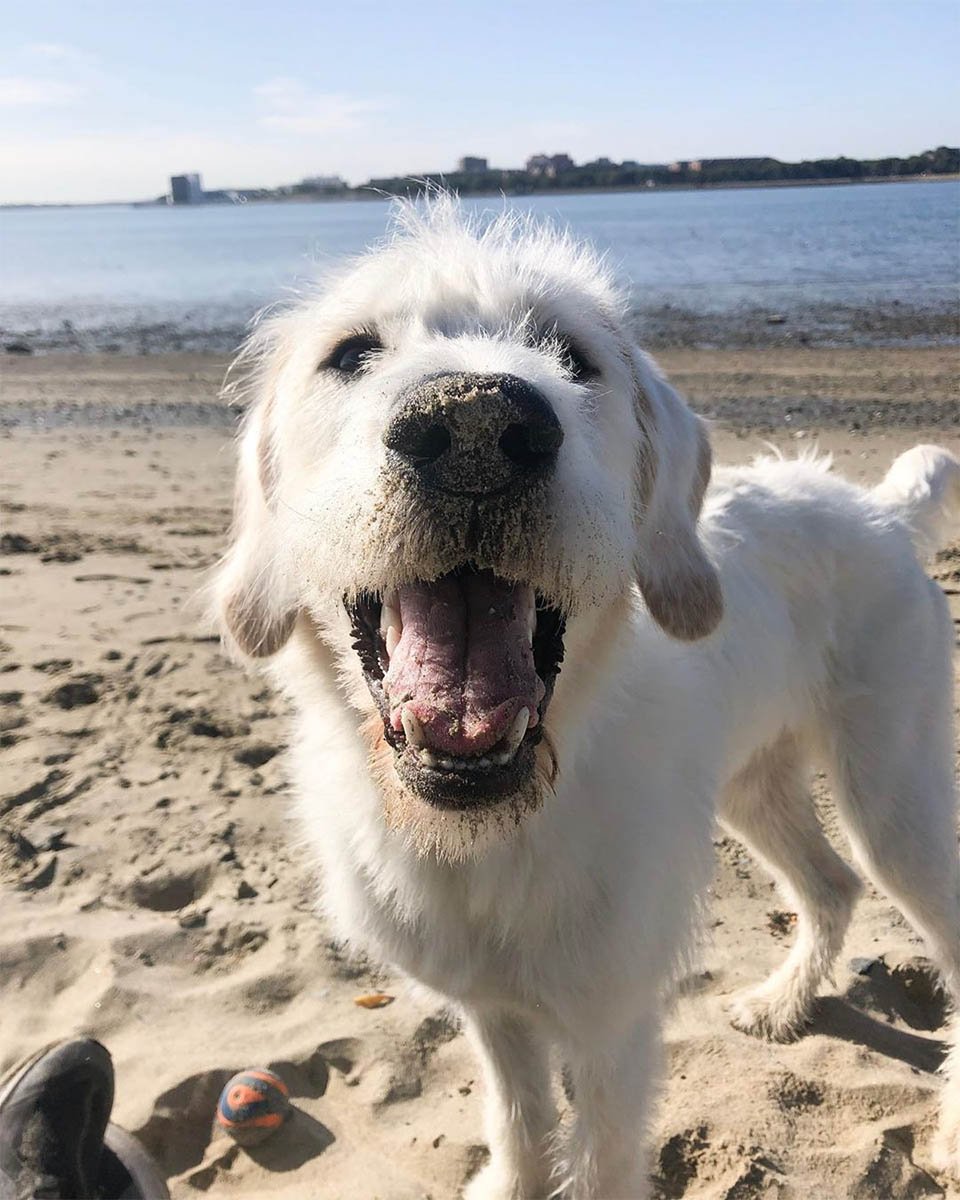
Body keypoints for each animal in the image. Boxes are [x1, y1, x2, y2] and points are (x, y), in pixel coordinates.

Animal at [216, 201, 960, 1195]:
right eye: (350, 352)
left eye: (572, 354)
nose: (476, 422)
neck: (492, 830)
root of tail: (881, 510)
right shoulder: (491, 1009)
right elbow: (518, 1120)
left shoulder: (613, 1025)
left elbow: (602, 1153)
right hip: (751, 787)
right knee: (832, 885)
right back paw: (780, 1003)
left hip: (893, 798)